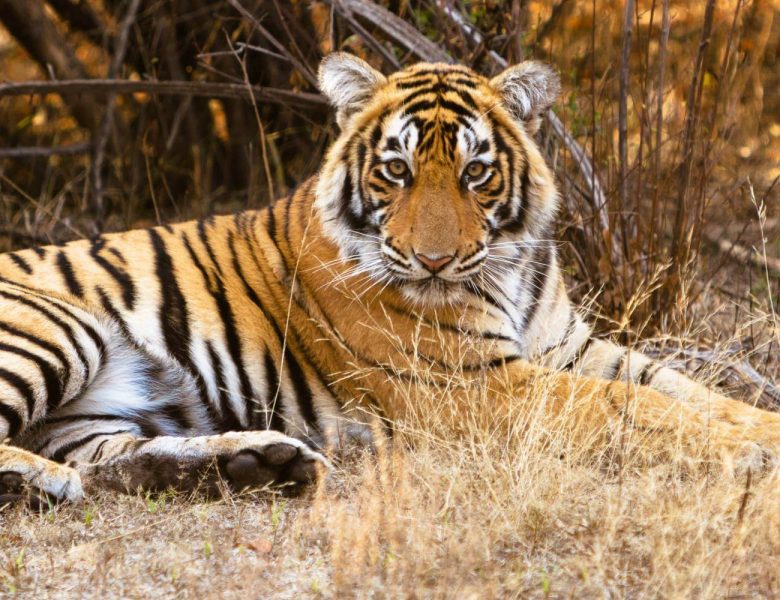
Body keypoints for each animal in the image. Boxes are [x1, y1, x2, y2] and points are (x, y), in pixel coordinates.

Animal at [1, 51, 780, 504]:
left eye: (476, 171)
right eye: (396, 169)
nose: (433, 260)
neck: (509, 268)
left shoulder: (571, 349)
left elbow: (683, 388)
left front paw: (760, 428)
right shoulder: (474, 385)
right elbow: (629, 405)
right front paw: (746, 450)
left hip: (96, 412)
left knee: (110, 465)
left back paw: (254, 465)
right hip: (58, 328)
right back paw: (37, 481)